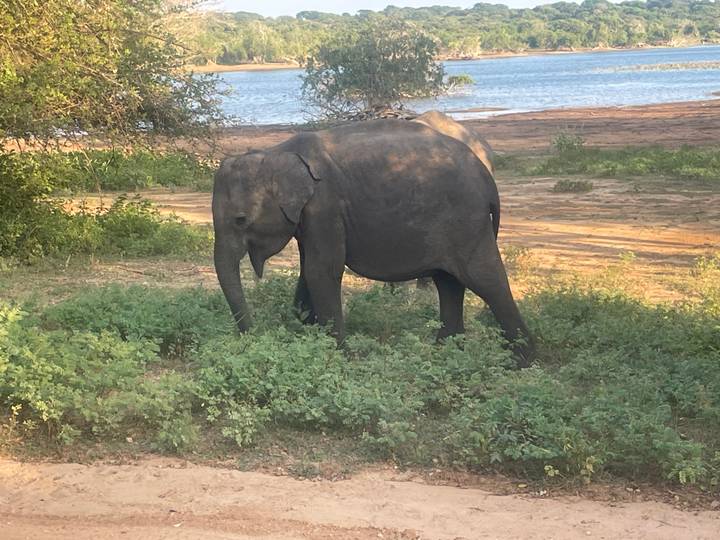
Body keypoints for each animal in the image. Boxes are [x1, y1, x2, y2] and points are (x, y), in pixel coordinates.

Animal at [212, 118, 535, 366]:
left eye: (240, 219)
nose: (254, 336)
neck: (275, 153)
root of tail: (486, 176)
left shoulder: (325, 206)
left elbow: (321, 272)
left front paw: (336, 356)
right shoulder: (310, 217)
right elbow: (308, 272)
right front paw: (303, 336)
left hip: (466, 218)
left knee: (485, 280)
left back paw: (521, 363)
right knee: (448, 282)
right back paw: (444, 352)